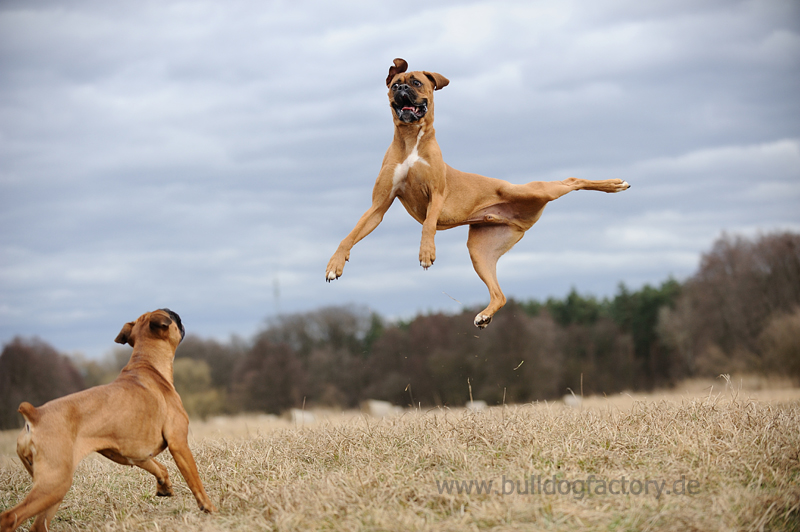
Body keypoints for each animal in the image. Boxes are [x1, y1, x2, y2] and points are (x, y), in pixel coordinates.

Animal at [0, 310, 216, 528]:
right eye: (172, 315)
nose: (179, 316)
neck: (147, 364)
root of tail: (35, 414)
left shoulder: (135, 454)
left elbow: (159, 467)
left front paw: (164, 486)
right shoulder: (178, 444)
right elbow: (195, 481)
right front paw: (209, 507)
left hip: (52, 489)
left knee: (38, 524)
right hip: (54, 483)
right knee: (10, 518)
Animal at [326, 56, 632, 326]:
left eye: (416, 82)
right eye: (394, 85)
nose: (401, 90)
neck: (411, 140)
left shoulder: (436, 195)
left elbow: (428, 225)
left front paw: (426, 253)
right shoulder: (379, 206)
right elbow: (350, 235)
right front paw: (335, 264)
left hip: (534, 192)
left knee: (572, 180)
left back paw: (615, 184)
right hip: (480, 251)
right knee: (500, 295)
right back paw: (484, 316)